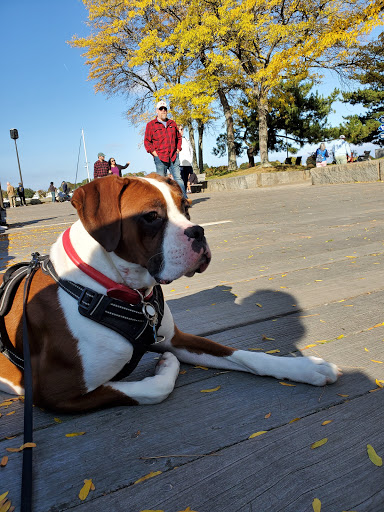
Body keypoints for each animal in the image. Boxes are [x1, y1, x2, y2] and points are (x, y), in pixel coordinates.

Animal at [0, 175, 340, 412]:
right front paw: (166, 367)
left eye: (186, 208)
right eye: (151, 216)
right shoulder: (54, 391)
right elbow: (152, 390)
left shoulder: (176, 338)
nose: (198, 231)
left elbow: (244, 355)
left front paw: (304, 367)